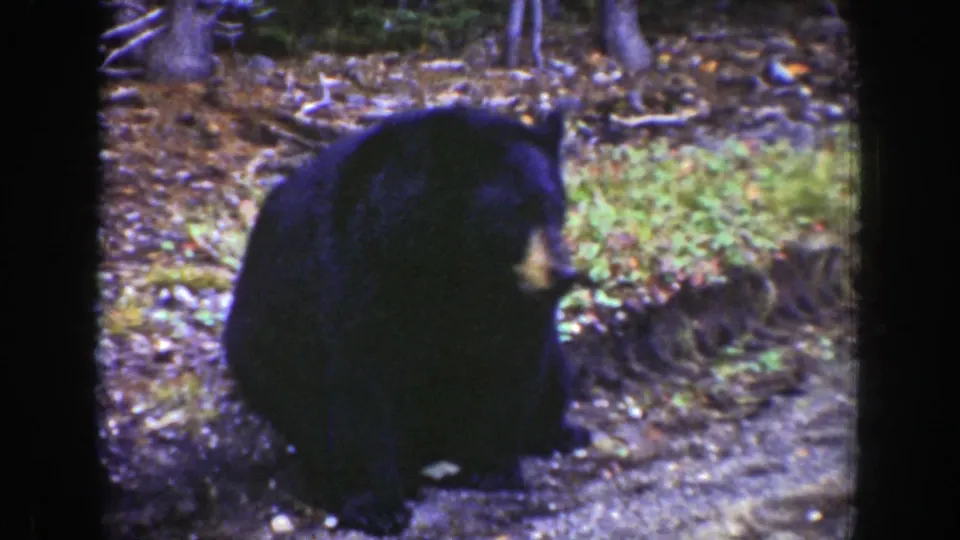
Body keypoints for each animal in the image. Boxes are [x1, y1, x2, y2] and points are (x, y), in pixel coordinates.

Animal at [222, 105, 591, 536]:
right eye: (517, 212)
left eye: (558, 208)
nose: (563, 274)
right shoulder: (363, 267)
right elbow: (361, 380)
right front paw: (377, 506)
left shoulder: (513, 300)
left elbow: (514, 362)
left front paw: (493, 465)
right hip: (262, 353)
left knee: (554, 375)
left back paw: (562, 431)